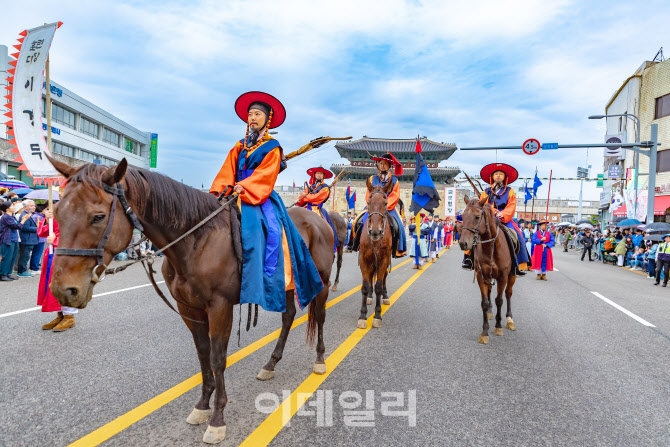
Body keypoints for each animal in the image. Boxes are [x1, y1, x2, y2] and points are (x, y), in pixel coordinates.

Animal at [46, 159, 334, 446]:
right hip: (285, 286)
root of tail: (318, 221)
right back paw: (270, 364)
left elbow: (218, 359)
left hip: (321, 280)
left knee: (319, 316)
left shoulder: (220, 307)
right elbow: (203, 355)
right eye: (57, 213)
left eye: (98, 216)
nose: (63, 290)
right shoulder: (189, 309)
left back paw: (320, 360)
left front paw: (217, 419)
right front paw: (202, 406)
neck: (196, 242)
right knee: (288, 317)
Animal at [356, 178, 394, 328]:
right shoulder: (364, 259)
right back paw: (370, 297)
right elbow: (365, 287)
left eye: (385, 203)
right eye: (368, 202)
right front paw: (362, 316)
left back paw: (385, 296)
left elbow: (378, 285)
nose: (375, 231)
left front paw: (377, 316)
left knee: (383, 278)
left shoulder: (383, 259)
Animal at [460, 194, 516, 344]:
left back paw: (509, 319)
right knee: (491, 292)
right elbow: (484, 303)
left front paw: (498, 326)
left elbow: (500, 300)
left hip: (512, 275)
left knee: (508, 294)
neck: (491, 247)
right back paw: (491, 313)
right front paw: (484, 332)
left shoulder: (503, 277)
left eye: (477, 217)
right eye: (462, 216)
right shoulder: (481, 276)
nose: (463, 243)